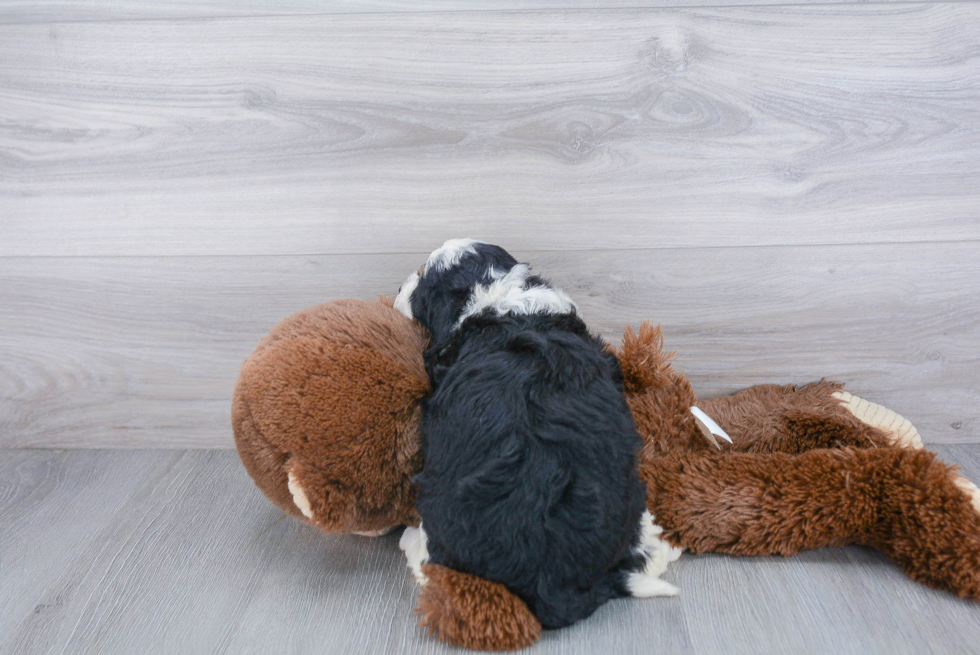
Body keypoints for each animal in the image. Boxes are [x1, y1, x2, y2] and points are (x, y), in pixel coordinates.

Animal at [394, 240, 676, 632]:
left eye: (421, 276)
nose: (396, 288)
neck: (499, 296)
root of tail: (551, 584)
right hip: (630, 490)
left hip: (435, 505)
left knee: (433, 566)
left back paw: (411, 541)